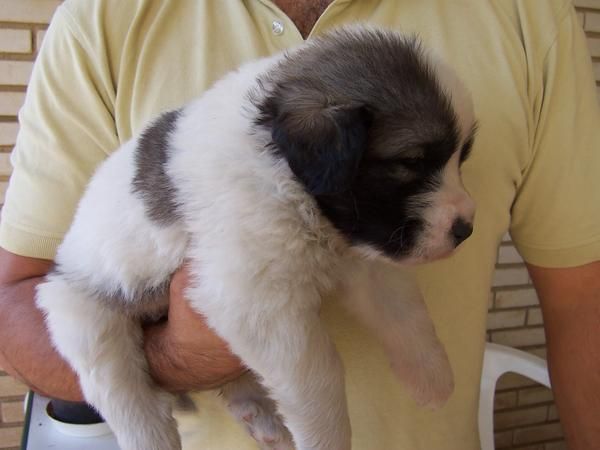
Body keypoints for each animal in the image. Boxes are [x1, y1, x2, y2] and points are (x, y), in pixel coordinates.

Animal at [37, 27, 478, 450]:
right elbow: (320, 378)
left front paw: (431, 376)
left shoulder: (366, 257)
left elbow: (406, 313)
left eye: (461, 158)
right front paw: (326, 439)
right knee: (128, 398)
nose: (466, 230)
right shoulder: (259, 299)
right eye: (412, 162)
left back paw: (259, 415)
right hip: (88, 317)